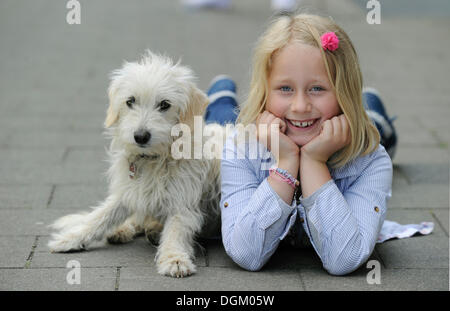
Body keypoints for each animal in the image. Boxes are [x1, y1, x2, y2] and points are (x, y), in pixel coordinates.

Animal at [47, 51, 223, 278]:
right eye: (130, 101)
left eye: (164, 104)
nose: (140, 136)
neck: (152, 160)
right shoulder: (127, 192)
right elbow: (100, 216)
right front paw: (71, 238)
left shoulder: (182, 206)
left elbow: (175, 233)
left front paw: (174, 259)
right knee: (136, 219)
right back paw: (122, 230)